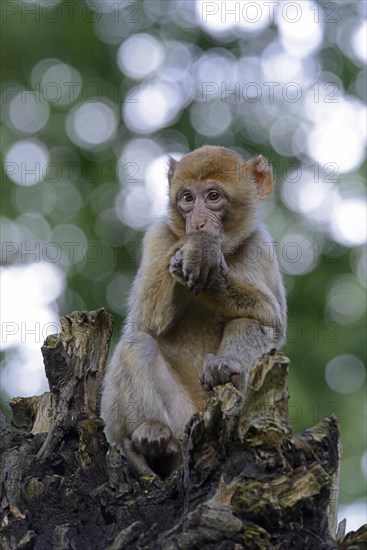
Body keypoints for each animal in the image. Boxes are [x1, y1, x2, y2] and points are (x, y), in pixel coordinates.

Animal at [100, 147, 288, 478]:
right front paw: (198, 248)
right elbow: (144, 321)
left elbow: (272, 321)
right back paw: (150, 441)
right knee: (137, 343)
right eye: (187, 198)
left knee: (249, 323)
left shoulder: (260, 246)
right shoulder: (158, 236)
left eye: (213, 196)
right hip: (178, 419)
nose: (198, 223)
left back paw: (224, 370)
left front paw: (205, 256)